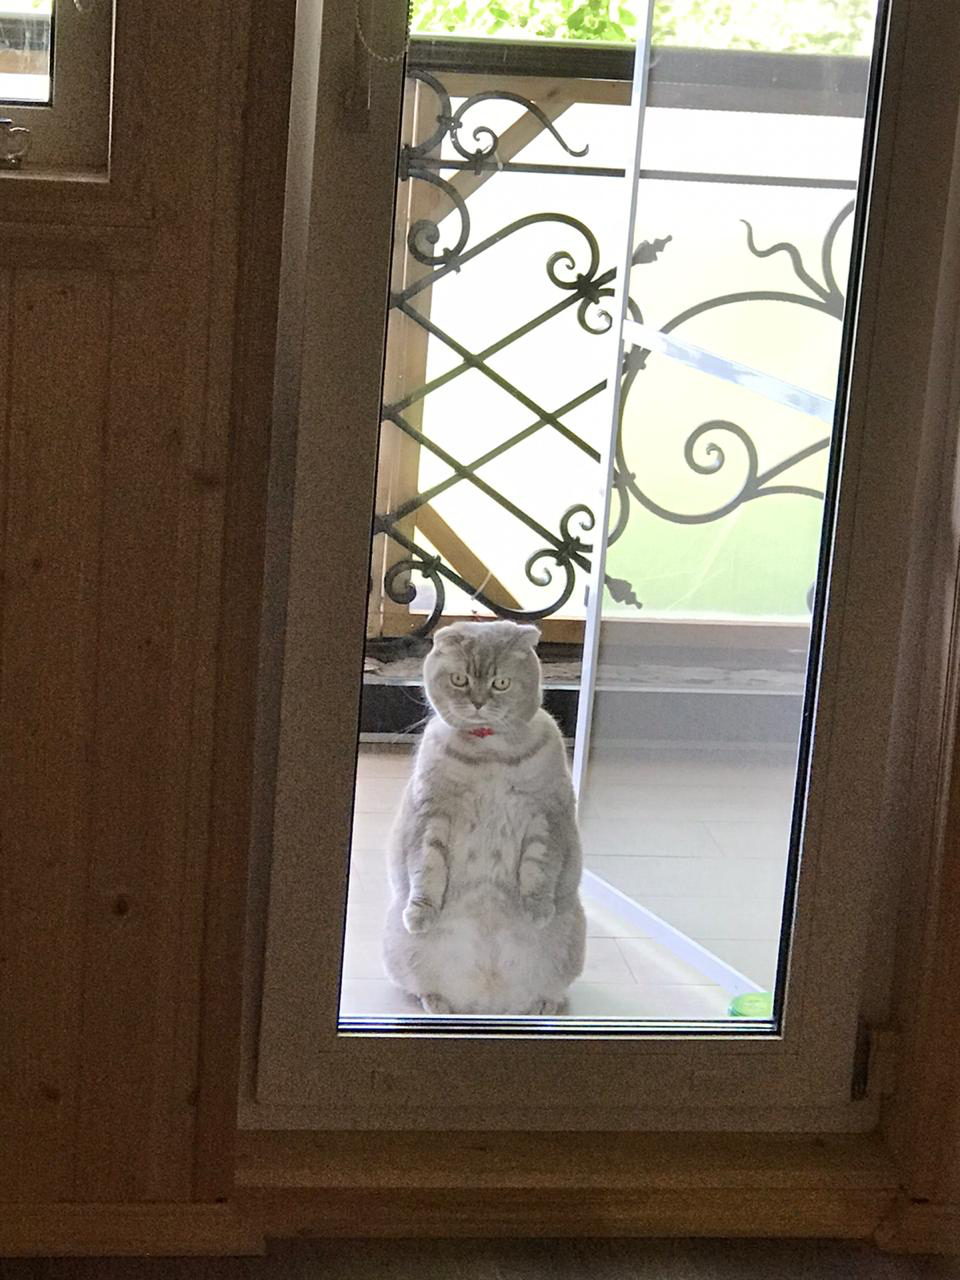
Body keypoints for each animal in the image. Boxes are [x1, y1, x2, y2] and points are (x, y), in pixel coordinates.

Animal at [384, 614, 586, 1013]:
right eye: (460, 679)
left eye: (500, 683)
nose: (477, 703)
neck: (488, 752)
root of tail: (488, 1004)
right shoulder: (431, 814)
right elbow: (425, 868)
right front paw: (420, 913)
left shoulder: (545, 814)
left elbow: (540, 866)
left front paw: (537, 909)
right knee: (421, 988)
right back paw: (437, 1003)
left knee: (551, 992)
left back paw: (542, 1006)